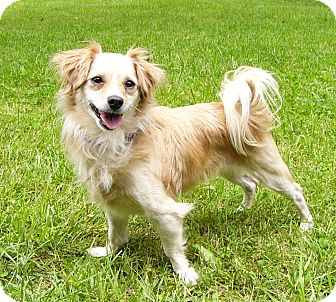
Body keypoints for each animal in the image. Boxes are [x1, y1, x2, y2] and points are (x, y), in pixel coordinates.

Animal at [51, 42, 314, 286]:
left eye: (130, 84)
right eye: (97, 80)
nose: (115, 101)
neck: (116, 142)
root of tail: (241, 109)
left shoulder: (164, 209)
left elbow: (172, 248)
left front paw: (185, 274)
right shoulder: (114, 204)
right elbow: (116, 236)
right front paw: (107, 253)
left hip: (269, 170)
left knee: (295, 190)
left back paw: (306, 223)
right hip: (229, 169)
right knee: (250, 184)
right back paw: (243, 209)